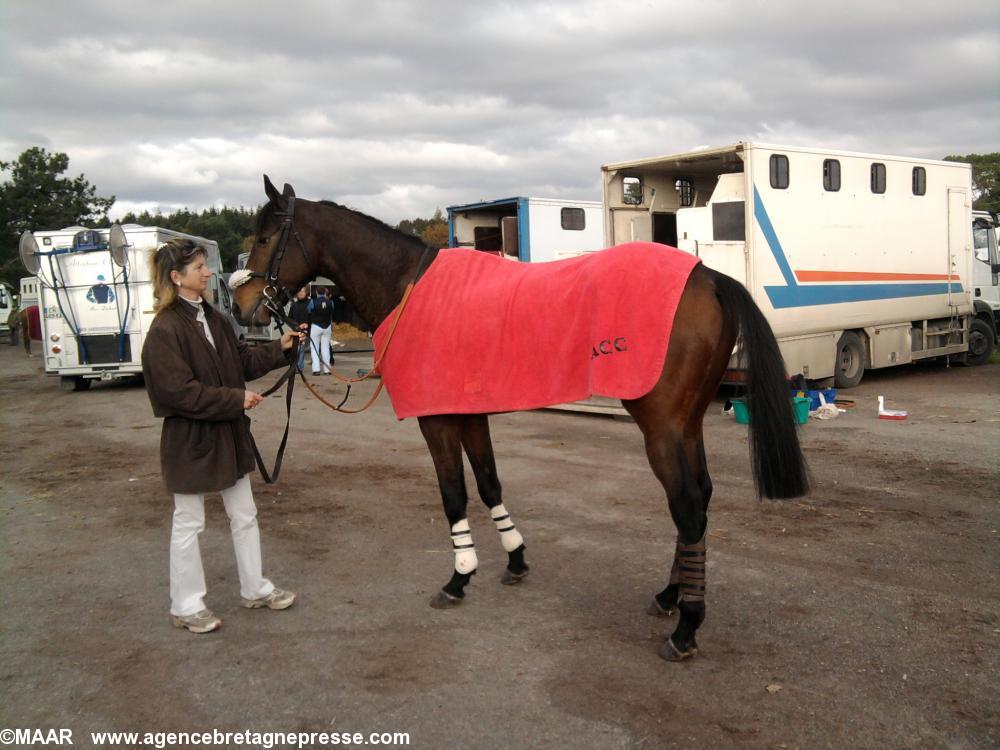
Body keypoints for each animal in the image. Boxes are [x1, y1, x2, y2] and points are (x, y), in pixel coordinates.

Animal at [230, 176, 808, 664]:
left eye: (265, 236)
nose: (241, 306)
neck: (409, 287)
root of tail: (706, 276)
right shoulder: (468, 414)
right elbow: (488, 484)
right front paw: (514, 559)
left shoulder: (436, 418)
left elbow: (453, 495)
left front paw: (458, 579)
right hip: (687, 422)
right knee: (701, 498)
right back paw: (670, 594)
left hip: (662, 424)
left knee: (686, 505)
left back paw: (686, 627)